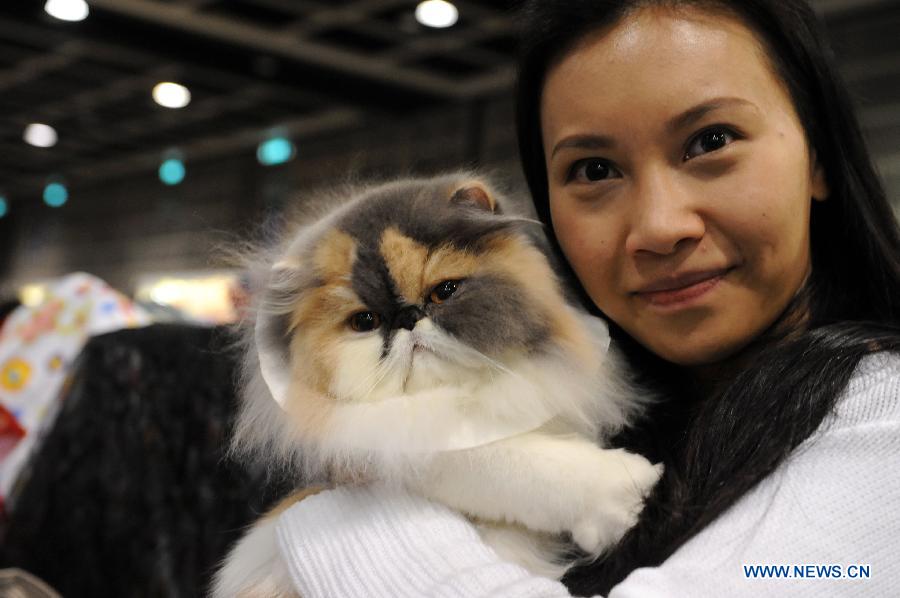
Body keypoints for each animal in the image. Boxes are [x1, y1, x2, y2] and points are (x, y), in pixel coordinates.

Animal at [211, 171, 660, 596]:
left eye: (444, 292)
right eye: (365, 321)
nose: (408, 318)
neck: (458, 398)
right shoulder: (409, 447)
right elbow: (524, 465)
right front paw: (628, 488)